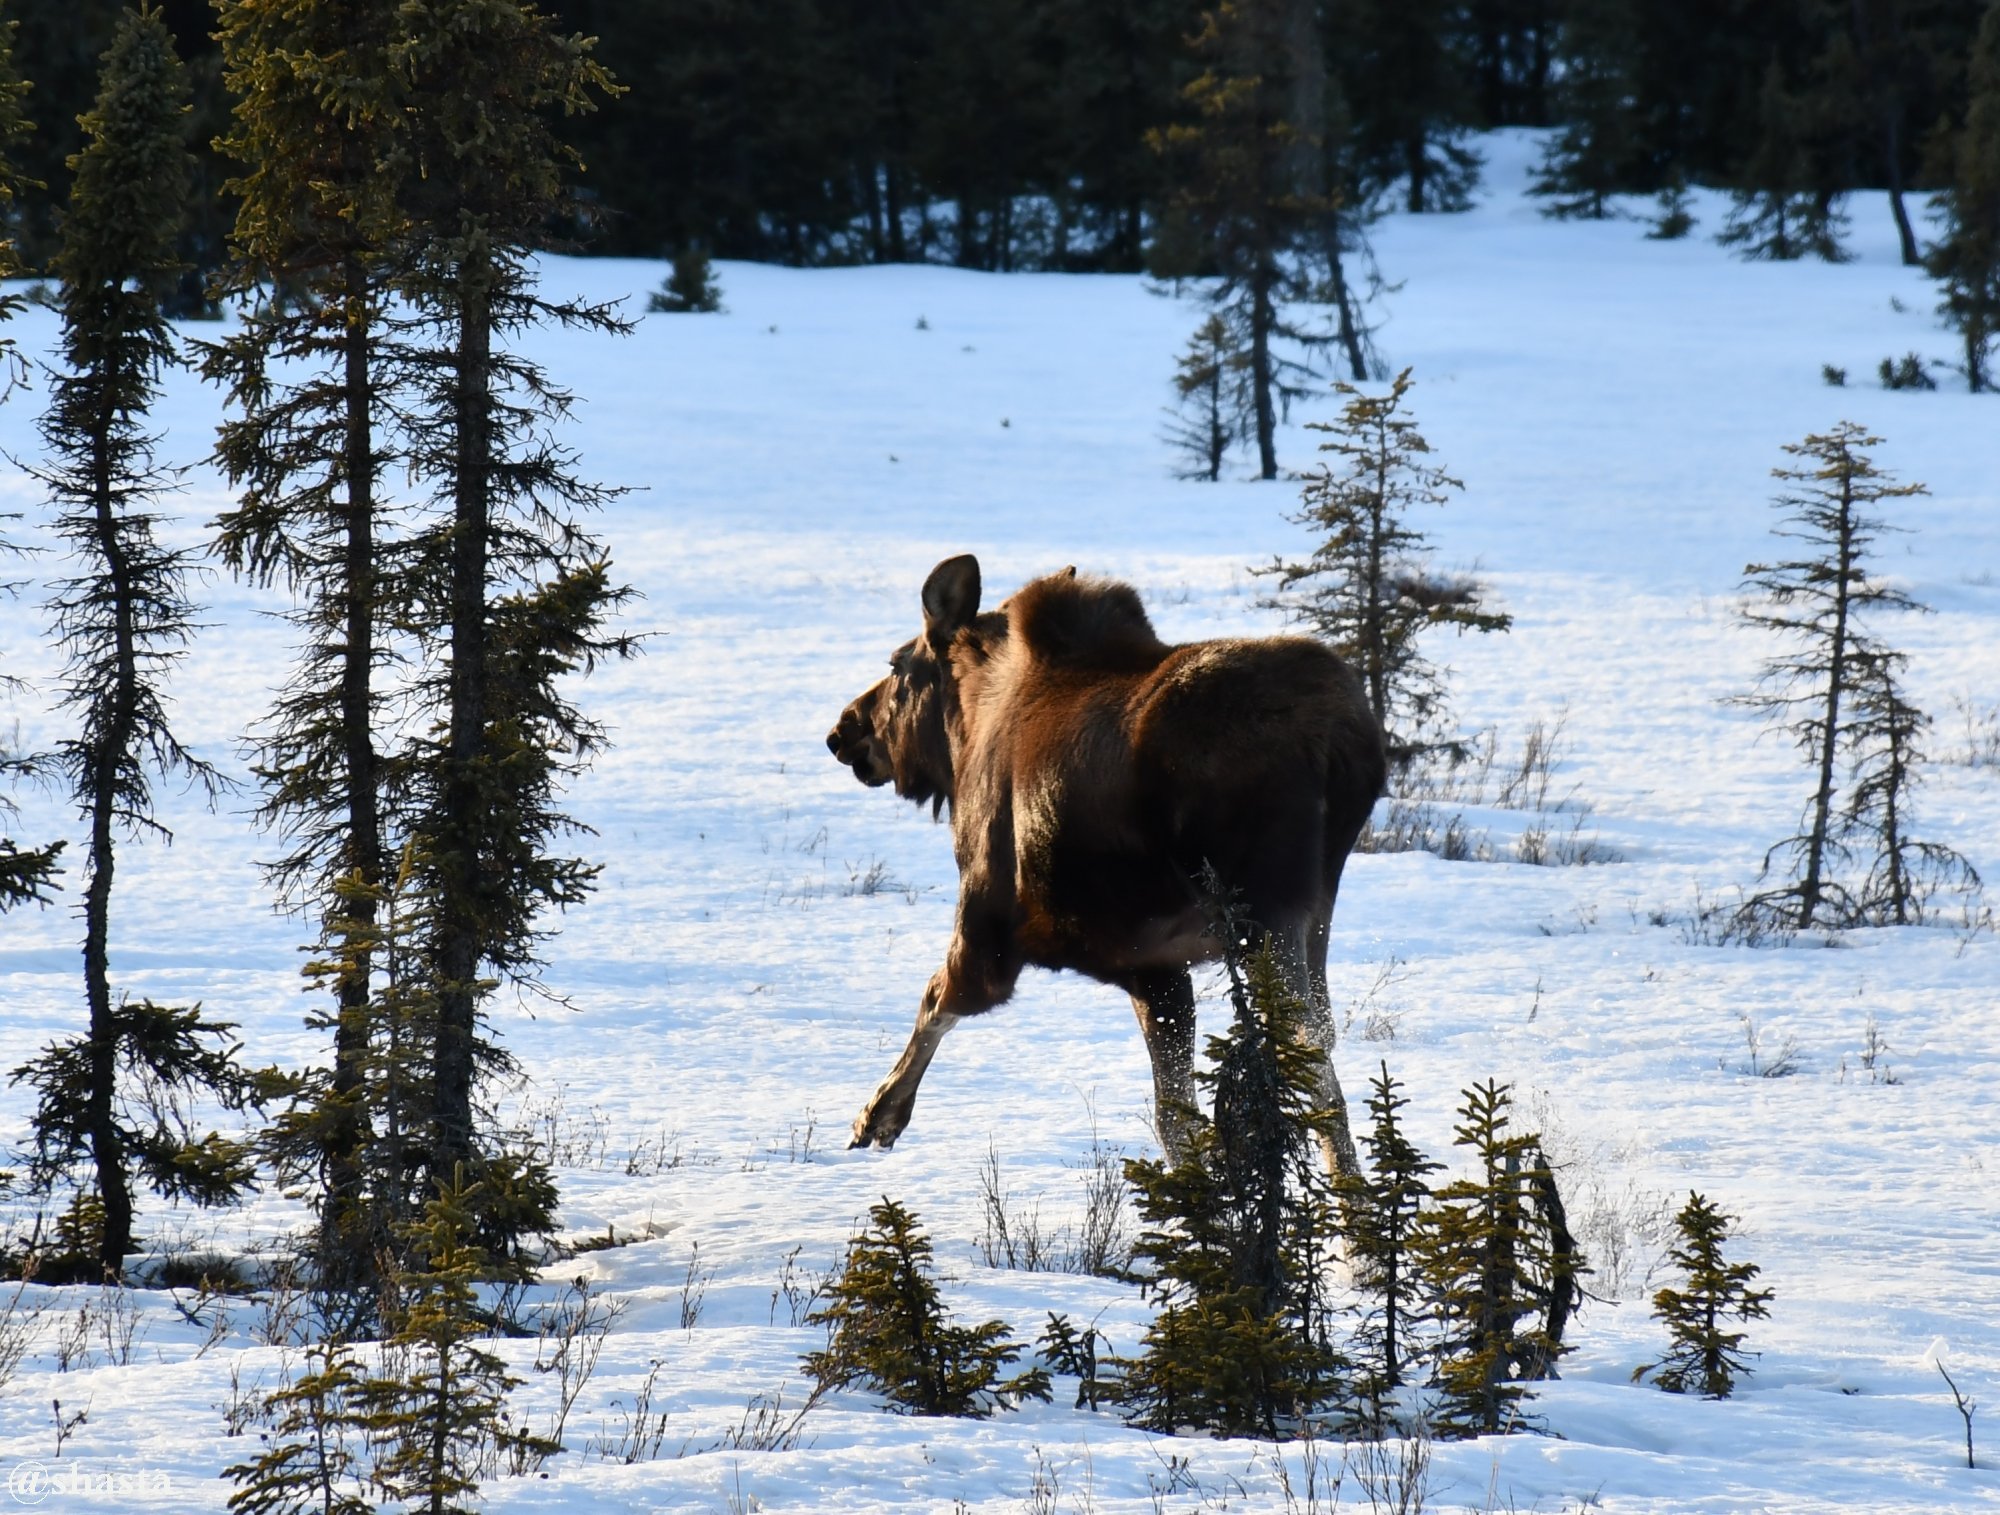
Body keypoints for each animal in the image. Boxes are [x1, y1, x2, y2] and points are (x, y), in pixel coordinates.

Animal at [820, 555, 1384, 1175]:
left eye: (898, 664)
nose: (843, 730)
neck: (965, 735)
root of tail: (1341, 742)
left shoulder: (987, 921)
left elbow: (934, 1000)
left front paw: (877, 1117)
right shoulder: (1158, 969)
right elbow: (1176, 1115)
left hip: (1264, 911)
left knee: (1305, 1046)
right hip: (1313, 910)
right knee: (1321, 1038)